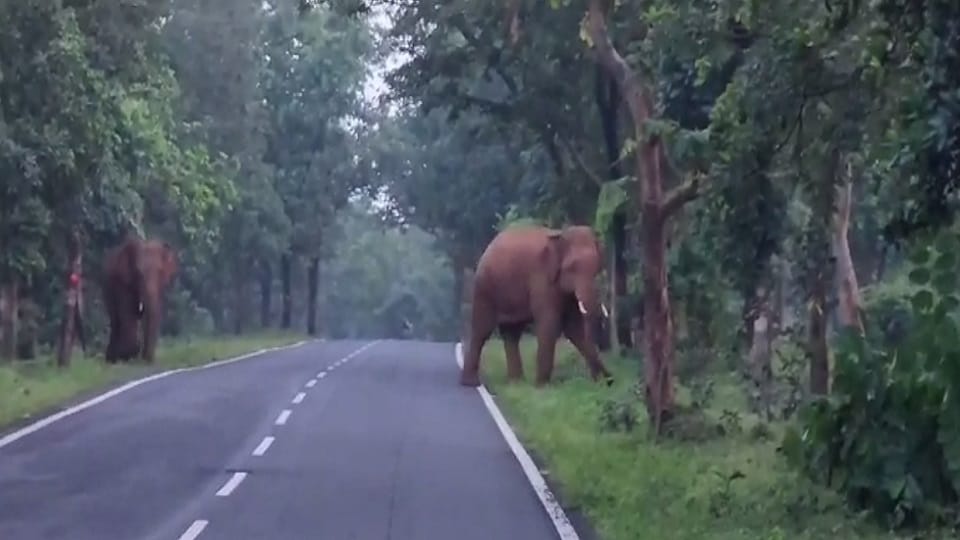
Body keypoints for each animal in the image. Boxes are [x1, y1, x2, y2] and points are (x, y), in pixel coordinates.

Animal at [459, 225, 614, 387]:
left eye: (597, 267)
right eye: (572, 267)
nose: (610, 380)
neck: (561, 235)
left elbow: (573, 329)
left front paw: (606, 381)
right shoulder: (542, 279)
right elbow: (550, 324)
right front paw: (542, 387)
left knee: (511, 333)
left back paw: (517, 383)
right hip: (484, 288)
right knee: (482, 330)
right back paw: (471, 383)